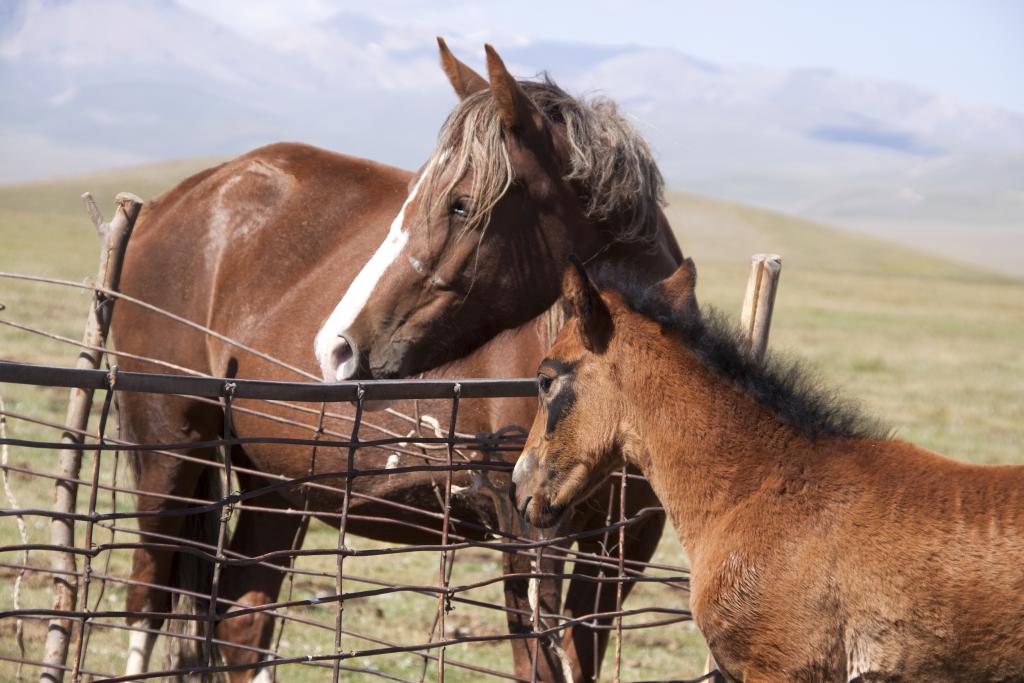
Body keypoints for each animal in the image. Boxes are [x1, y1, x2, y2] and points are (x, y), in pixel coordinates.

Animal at [112, 41, 684, 679]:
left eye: (461, 205)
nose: (335, 346)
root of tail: (172, 203)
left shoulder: (625, 548)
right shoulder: (529, 536)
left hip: (276, 485)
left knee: (241, 620)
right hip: (169, 453)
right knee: (148, 601)